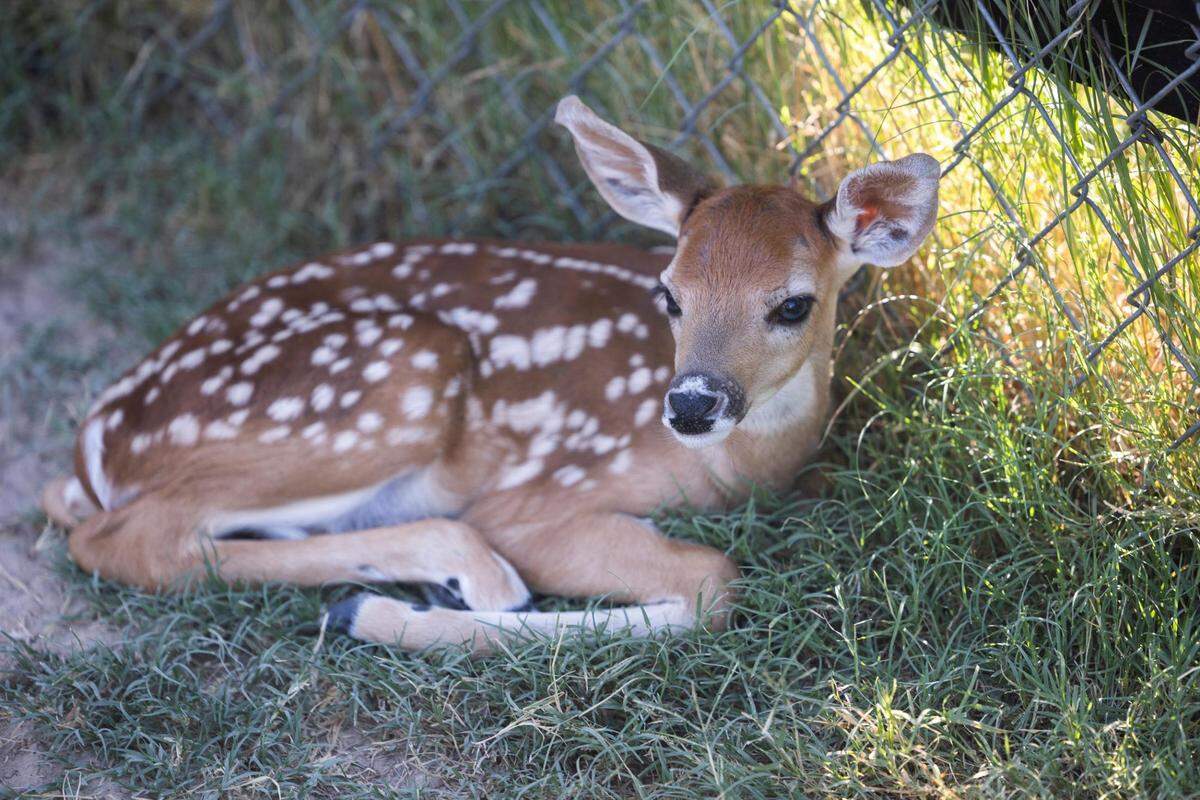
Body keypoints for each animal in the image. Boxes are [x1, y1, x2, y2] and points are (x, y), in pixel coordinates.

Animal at [40, 96, 939, 653]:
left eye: (793, 304)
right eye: (670, 293)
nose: (690, 404)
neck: (745, 464)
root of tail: (95, 444)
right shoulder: (541, 498)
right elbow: (714, 585)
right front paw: (389, 614)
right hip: (394, 369)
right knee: (134, 540)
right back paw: (458, 577)